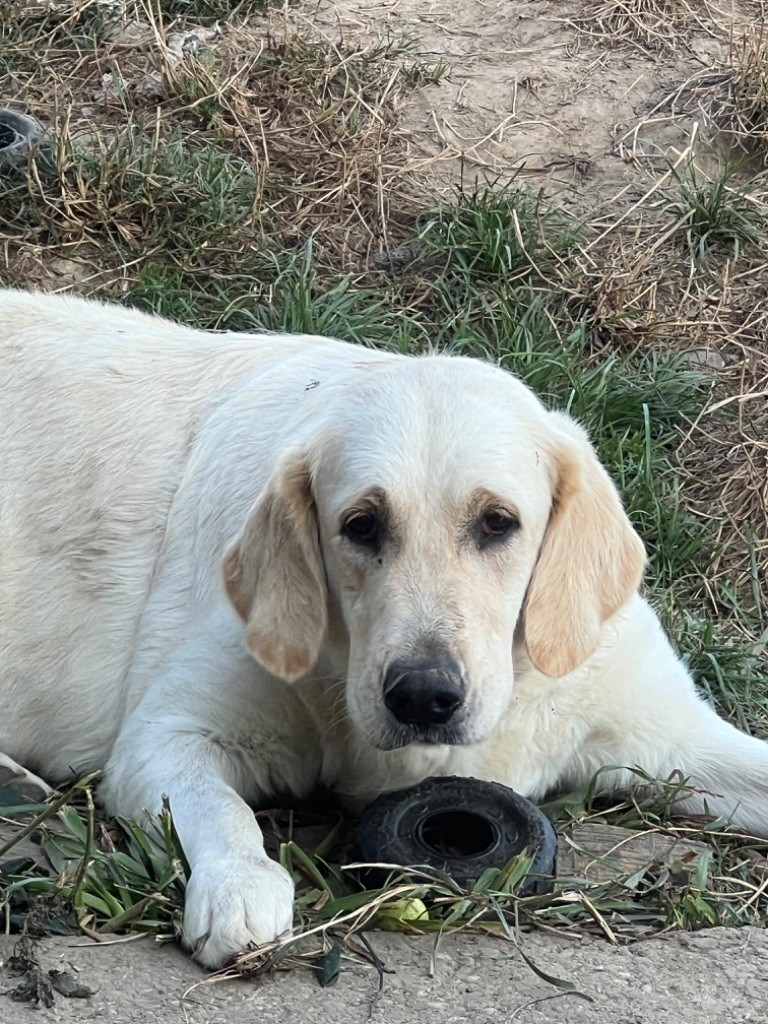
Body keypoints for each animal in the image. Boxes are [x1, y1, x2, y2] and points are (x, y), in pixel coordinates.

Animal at [0, 290, 765, 966]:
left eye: (498, 523)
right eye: (361, 526)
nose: (423, 696)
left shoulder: (664, 727)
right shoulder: (163, 735)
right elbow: (220, 809)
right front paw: (239, 885)